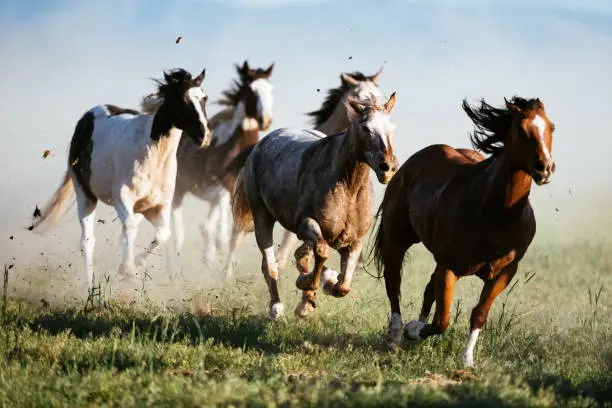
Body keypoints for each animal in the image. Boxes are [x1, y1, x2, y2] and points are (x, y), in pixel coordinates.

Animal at [31, 67, 213, 290]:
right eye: (183, 99)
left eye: (204, 98)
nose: (204, 136)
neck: (152, 154)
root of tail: (87, 118)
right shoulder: (123, 198)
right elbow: (130, 227)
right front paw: (127, 271)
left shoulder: (156, 207)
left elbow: (163, 234)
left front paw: (136, 264)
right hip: (85, 195)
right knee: (87, 241)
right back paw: (89, 288)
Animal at [232, 93, 400, 322]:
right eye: (366, 128)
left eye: (391, 126)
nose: (388, 167)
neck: (347, 187)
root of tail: (261, 145)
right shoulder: (305, 224)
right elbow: (321, 252)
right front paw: (308, 283)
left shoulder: (355, 240)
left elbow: (343, 286)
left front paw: (321, 288)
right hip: (262, 217)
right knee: (270, 265)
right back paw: (276, 308)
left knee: (300, 256)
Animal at [370, 95, 556, 366]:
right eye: (521, 129)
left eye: (552, 127)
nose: (545, 168)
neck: (496, 214)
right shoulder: (449, 267)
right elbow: (442, 320)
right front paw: (413, 330)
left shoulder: (504, 273)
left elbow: (478, 314)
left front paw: (467, 359)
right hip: (397, 240)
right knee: (394, 283)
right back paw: (396, 335)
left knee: (427, 289)